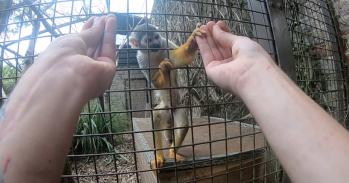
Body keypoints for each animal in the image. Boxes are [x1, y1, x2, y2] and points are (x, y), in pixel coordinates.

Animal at [128, 23, 204, 168]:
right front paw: (163, 69)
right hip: (165, 107)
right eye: (148, 40)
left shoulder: (165, 43)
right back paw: (159, 156)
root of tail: (170, 110)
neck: (153, 53)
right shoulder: (140, 60)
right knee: (156, 117)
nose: (156, 43)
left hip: (177, 107)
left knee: (183, 125)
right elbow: (156, 82)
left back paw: (173, 152)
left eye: (157, 37)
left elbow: (179, 58)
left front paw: (192, 41)